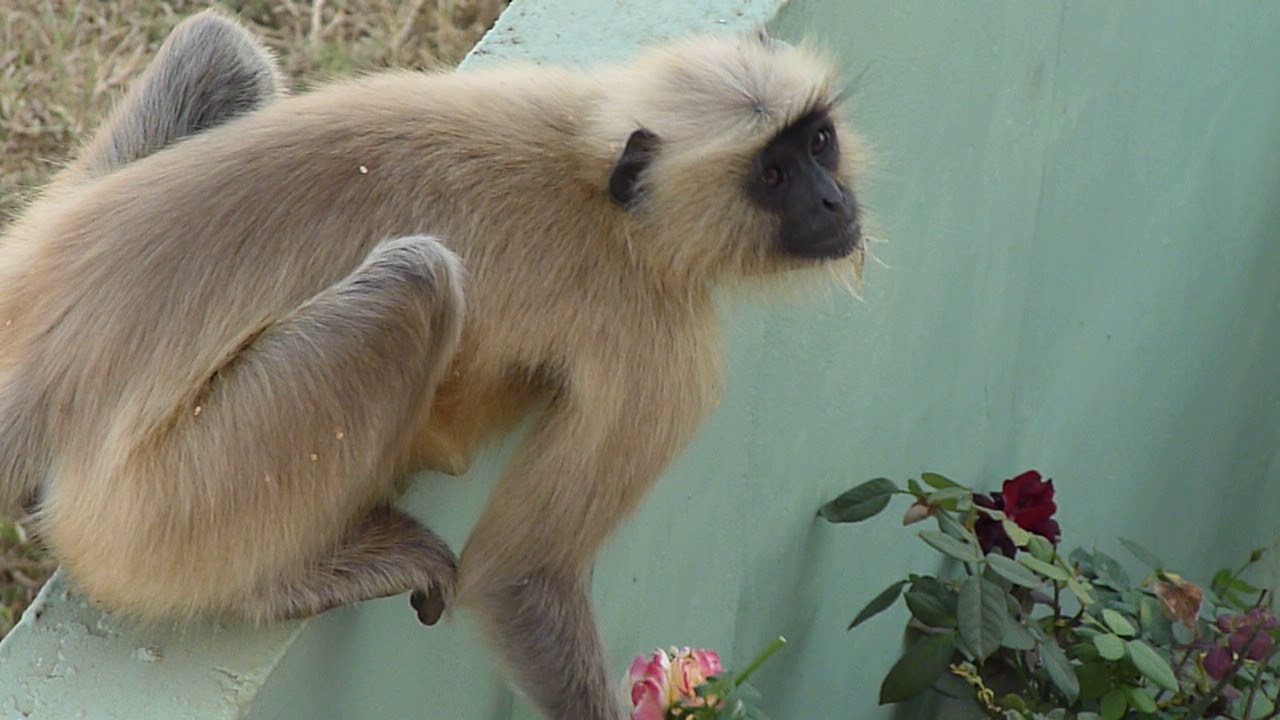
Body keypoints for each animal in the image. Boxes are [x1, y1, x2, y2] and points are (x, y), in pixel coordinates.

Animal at [0, 13, 865, 720]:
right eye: (774, 176)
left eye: (817, 142)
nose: (835, 204)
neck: (593, 175)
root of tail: (40, 368)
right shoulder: (663, 345)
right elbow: (519, 578)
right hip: (152, 511)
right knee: (417, 279)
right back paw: (268, 584)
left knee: (219, 44)